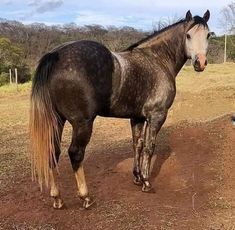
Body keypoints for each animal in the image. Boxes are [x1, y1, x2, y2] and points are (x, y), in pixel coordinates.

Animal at [29, 10, 211, 208]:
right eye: (188, 35)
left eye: (208, 35)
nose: (200, 63)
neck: (157, 59)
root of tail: (55, 55)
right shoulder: (157, 115)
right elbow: (149, 147)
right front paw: (146, 182)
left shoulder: (137, 117)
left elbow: (137, 145)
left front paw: (137, 177)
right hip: (82, 123)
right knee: (75, 153)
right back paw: (85, 196)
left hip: (57, 120)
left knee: (52, 152)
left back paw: (57, 198)